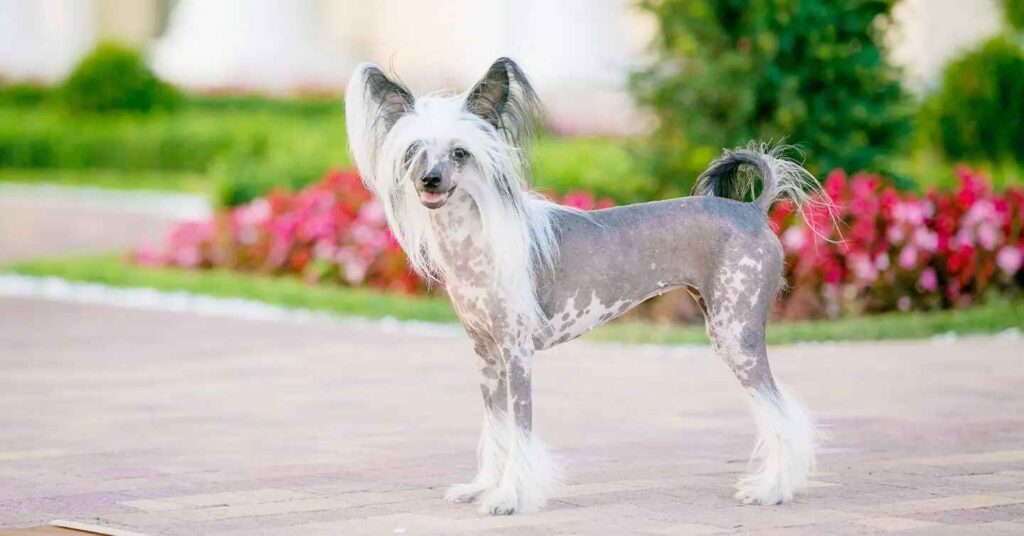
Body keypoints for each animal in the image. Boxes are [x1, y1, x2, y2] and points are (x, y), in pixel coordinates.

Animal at [348, 57, 819, 516]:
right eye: (414, 151)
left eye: (460, 153)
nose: (429, 179)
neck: (477, 241)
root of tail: (753, 210)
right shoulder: (486, 354)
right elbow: (495, 427)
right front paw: (483, 486)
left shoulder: (517, 353)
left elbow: (520, 429)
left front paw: (509, 496)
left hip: (735, 333)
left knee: (781, 412)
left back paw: (773, 490)